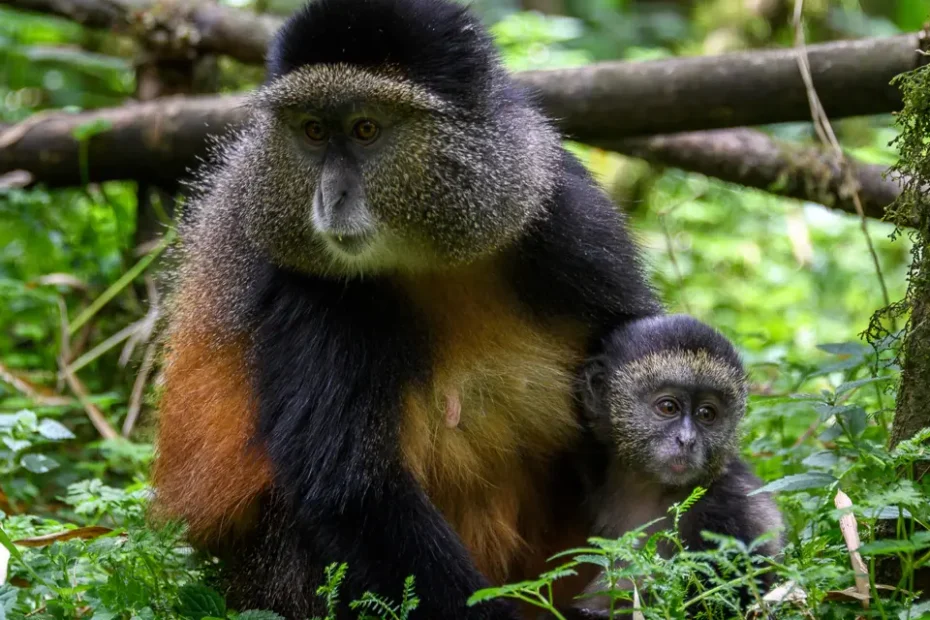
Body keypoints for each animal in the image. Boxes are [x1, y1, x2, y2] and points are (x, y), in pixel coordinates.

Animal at [149, 0, 662, 618]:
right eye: (313, 130)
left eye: (366, 129)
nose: (330, 197)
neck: (431, 255)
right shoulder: (308, 289)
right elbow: (351, 490)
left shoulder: (566, 216)